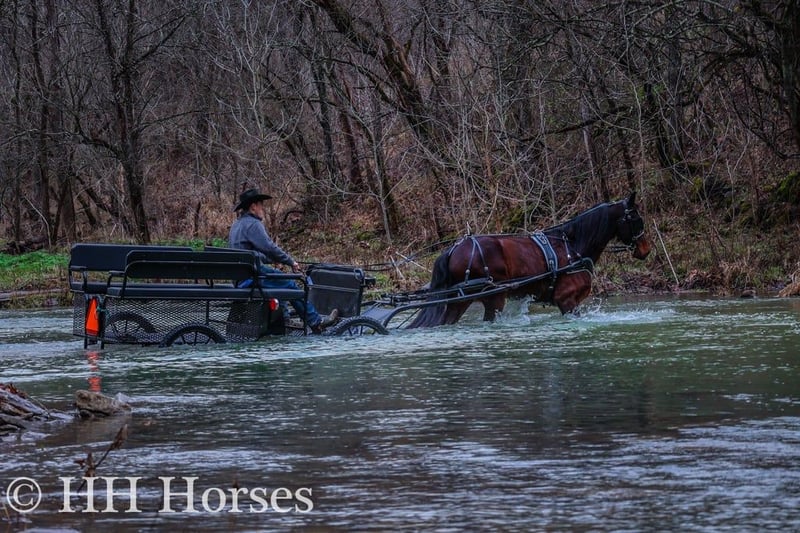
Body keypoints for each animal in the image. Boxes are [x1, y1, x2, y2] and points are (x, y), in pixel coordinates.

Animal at [407, 192, 652, 328]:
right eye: (636, 218)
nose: (646, 249)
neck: (572, 247)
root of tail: (454, 248)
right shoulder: (567, 300)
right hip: (493, 298)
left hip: (459, 300)